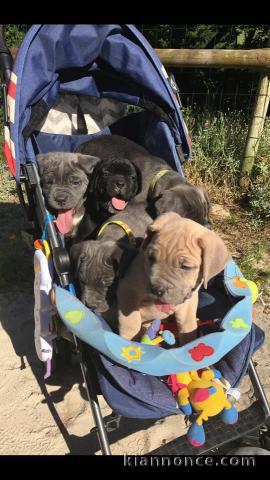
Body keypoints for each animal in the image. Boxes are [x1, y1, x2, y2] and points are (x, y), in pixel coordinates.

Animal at [115, 214, 231, 344]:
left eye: (185, 267)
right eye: (151, 257)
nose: (156, 290)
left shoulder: (188, 303)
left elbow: (188, 326)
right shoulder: (128, 289)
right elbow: (131, 322)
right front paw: (127, 341)